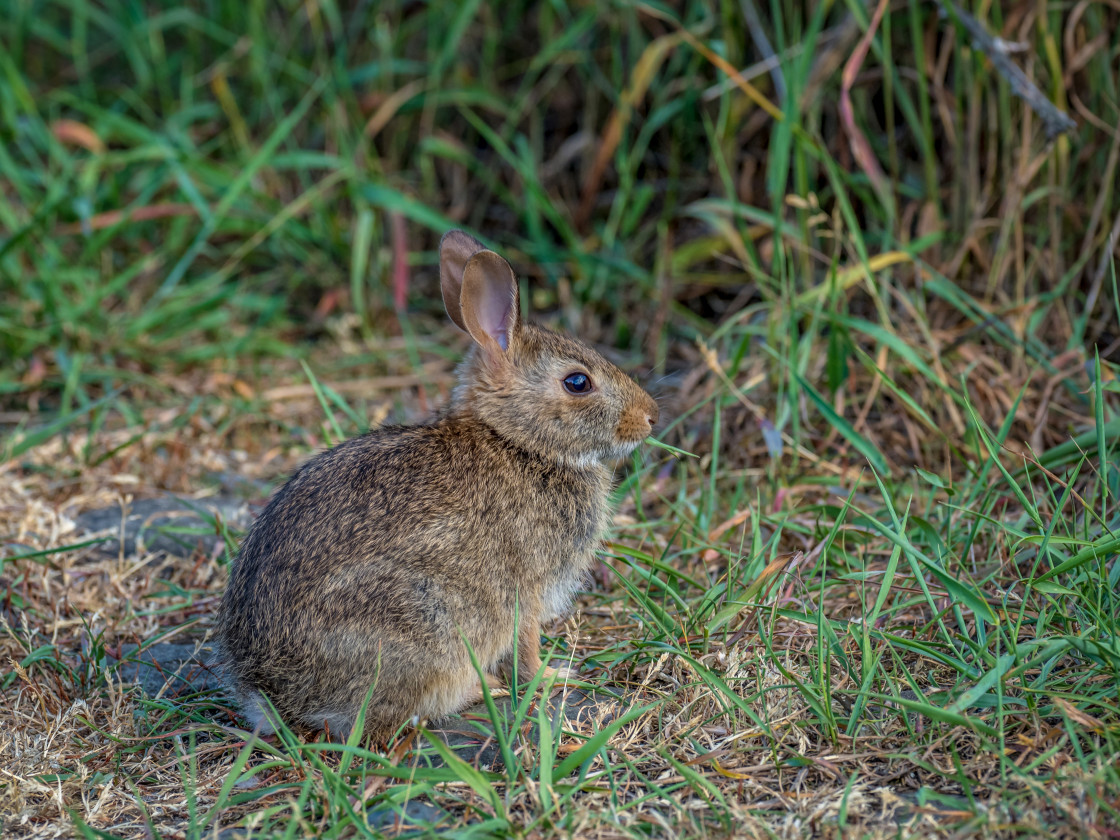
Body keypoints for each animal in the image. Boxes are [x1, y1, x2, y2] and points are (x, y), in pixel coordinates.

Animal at [211, 228, 654, 743]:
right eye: (578, 382)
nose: (650, 417)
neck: (516, 441)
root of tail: (269, 692)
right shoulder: (525, 592)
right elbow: (525, 647)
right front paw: (550, 676)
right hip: (423, 628)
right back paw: (479, 692)